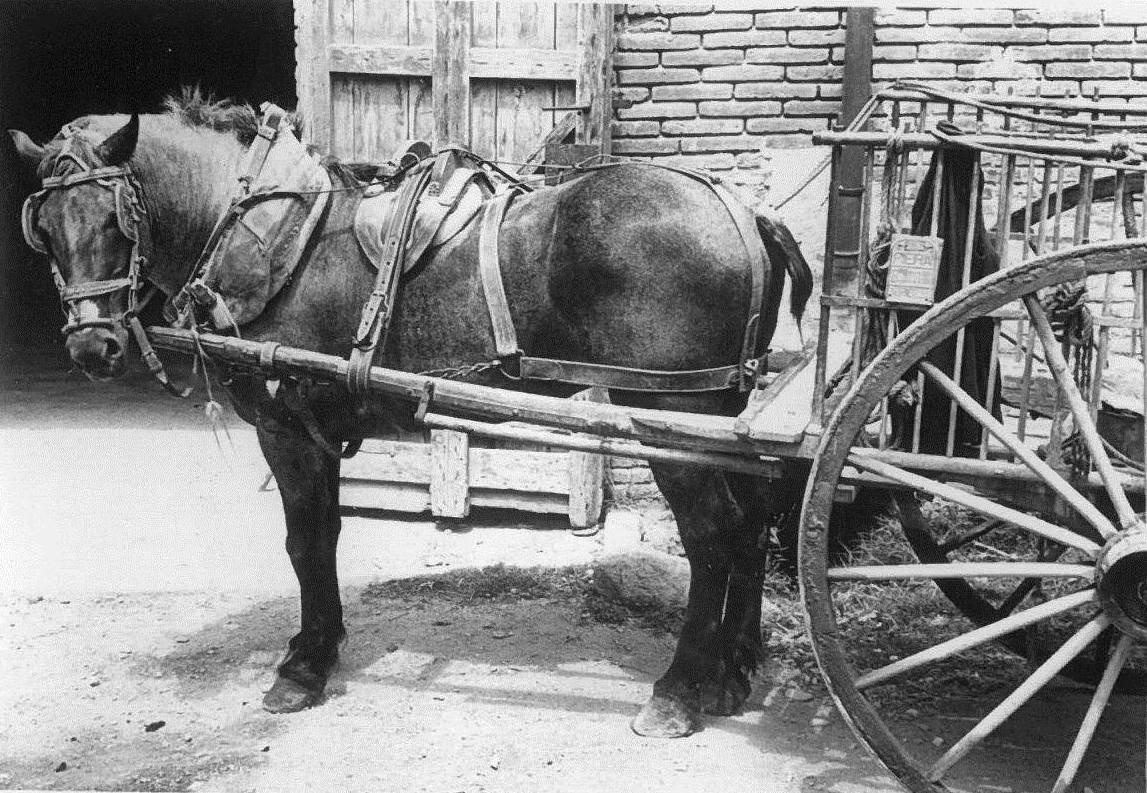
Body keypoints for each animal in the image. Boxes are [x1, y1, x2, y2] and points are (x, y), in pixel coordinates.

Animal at [11, 96, 816, 743]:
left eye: (116, 218)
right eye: (43, 228)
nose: (93, 347)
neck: (271, 233)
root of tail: (744, 212)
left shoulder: (285, 428)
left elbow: (304, 540)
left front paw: (302, 666)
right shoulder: (316, 430)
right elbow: (324, 535)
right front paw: (321, 643)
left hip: (667, 412)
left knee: (712, 534)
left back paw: (678, 689)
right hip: (721, 413)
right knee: (752, 519)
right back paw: (731, 669)